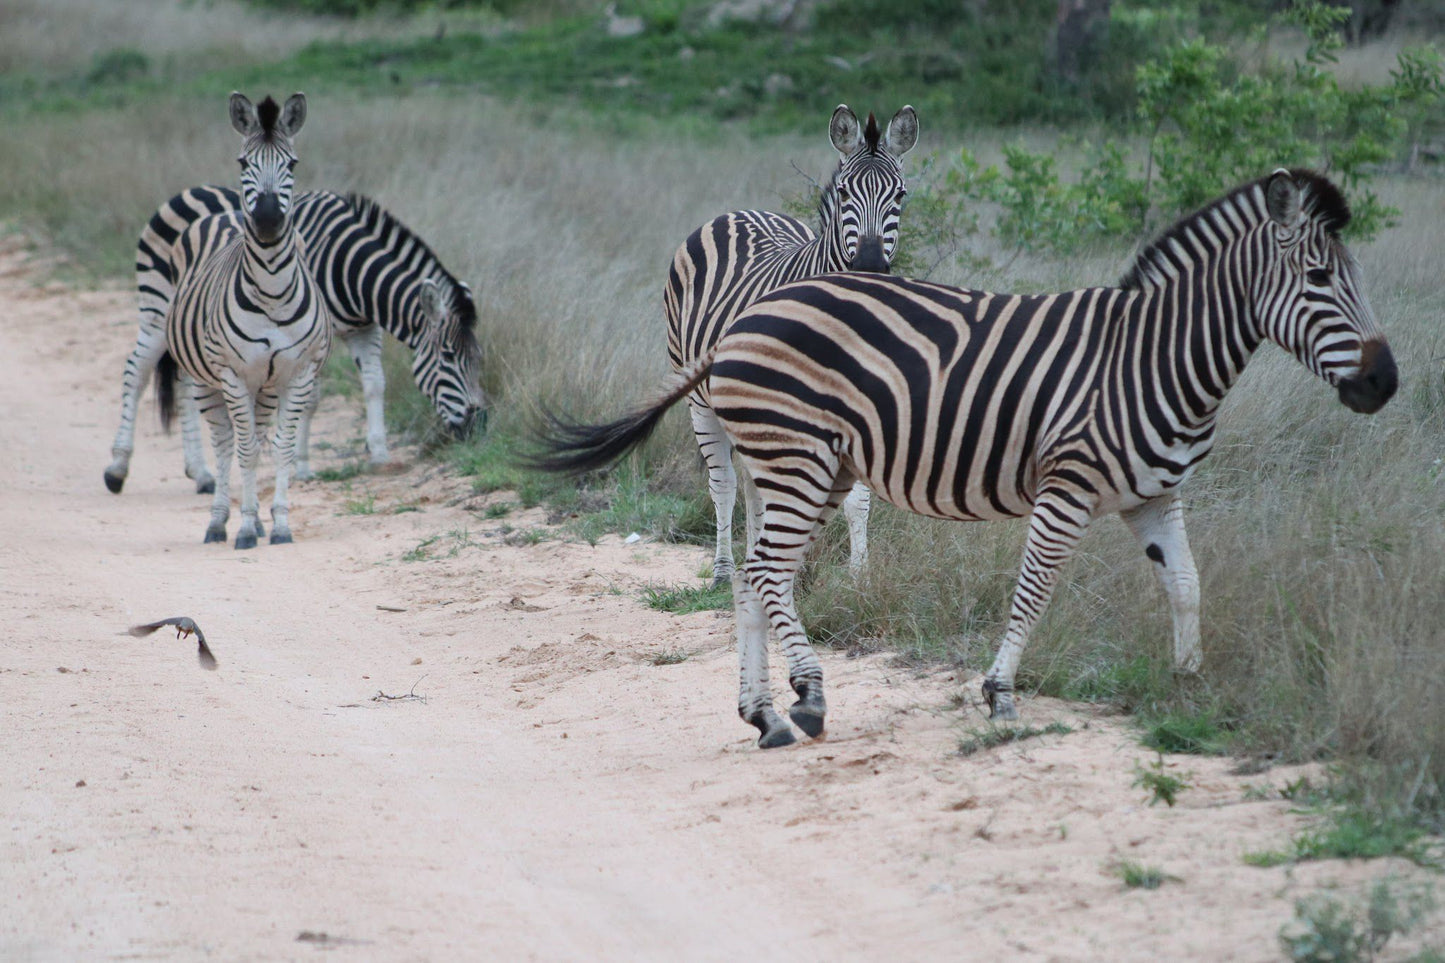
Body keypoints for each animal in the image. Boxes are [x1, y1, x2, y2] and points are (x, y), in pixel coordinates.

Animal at [104, 185, 485, 494]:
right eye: (448, 357)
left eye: (479, 359)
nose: (478, 425)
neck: (350, 269)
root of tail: (183, 193)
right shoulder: (308, 340)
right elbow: (311, 399)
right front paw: (301, 466)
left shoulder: (364, 330)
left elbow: (375, 383)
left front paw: (379, 454)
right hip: (158, 309)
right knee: (136, 372)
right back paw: (118, 469)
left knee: (184, 383)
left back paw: (200, 473)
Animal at [162, 94, 330, 552]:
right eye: (243, 162)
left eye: (292, 163)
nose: (269, 221)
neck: (272, 290)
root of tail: (225, 213)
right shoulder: (233, 375)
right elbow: (246, 451)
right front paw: (246, 528)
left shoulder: (298, 374)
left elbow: (282, 448)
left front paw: (280, 526)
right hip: (204, 378)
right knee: (224, 444)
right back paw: (220, 521)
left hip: (265, 387)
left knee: (252, 436)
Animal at [534, 168, 1398, 746]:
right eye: (1319, 277)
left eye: (1351, 276)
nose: (1384, 382)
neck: (1152, 358)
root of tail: (742, 322)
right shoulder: (1067, 485)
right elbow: (1033, 590)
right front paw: (1000, 690)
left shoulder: (1155, 494)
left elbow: (1185, 584)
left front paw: (1188, 686)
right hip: (796, 458)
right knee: (767, 572)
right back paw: (807, 697)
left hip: (808, 467)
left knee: (752, 575)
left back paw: (764, 713)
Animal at [667, 104, 919, 584]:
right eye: (844, 193)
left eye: (900, 196)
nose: (870, 266)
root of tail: (739, 212)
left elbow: (857, 500)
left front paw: (858, 577)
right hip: (699, 396)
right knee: (725, 483)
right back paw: (725, 570)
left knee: (753, 484)